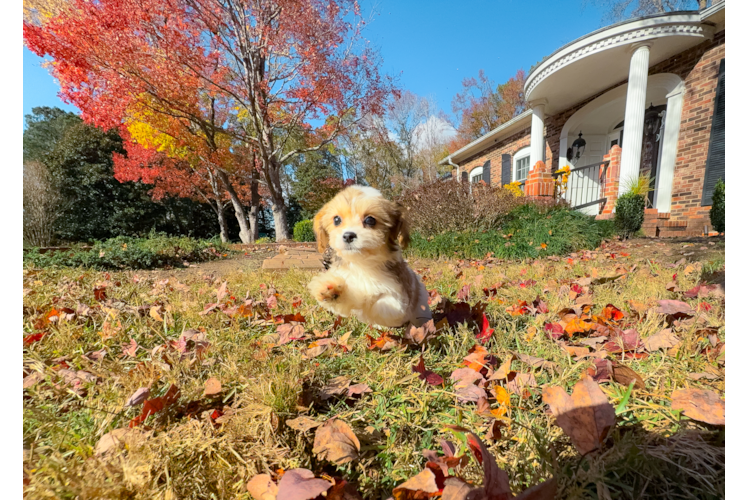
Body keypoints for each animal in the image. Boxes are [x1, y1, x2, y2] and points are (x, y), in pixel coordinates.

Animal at [306, 186, 432, 330]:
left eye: (370, 220)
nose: (348, 235)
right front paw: (331, 290)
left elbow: (379, 305)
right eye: (336, 220)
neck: (362, 263)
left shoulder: (397, 295)